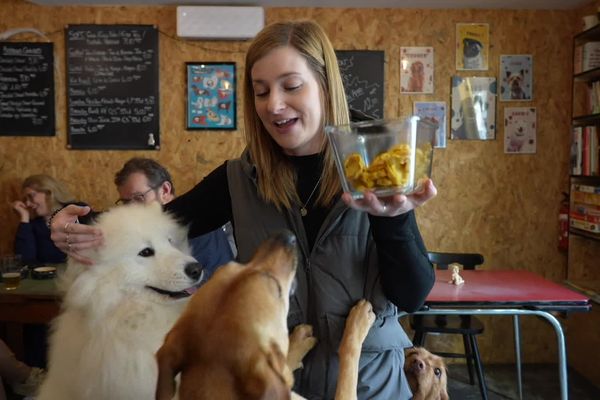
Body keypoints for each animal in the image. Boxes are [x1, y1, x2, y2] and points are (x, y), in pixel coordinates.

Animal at [155, 231, 376, 400]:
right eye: (277, 289)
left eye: (234, 266)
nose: (284, 235)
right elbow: (348, 365)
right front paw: (359, 321)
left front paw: (297, 343)